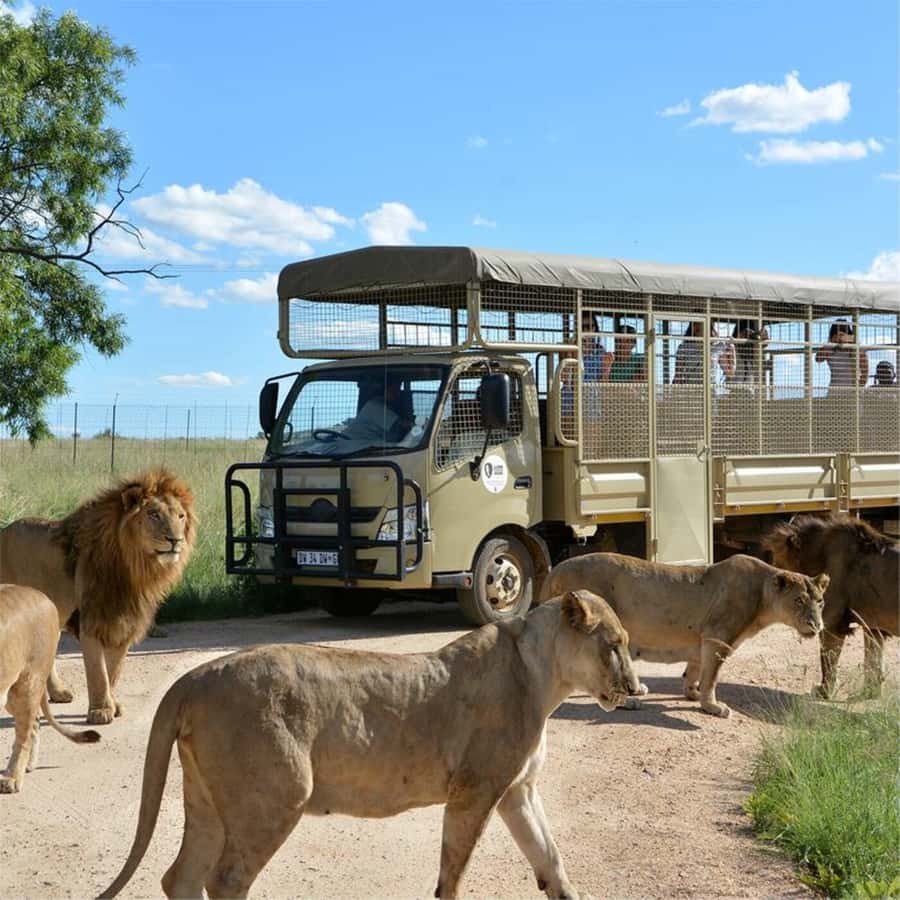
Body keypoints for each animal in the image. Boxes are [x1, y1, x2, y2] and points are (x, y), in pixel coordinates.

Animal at [0, 468, 196, 726]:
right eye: (154, 514)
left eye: (181, 516)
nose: (175, 540)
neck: (135, 569)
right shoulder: (91, 620)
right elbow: (97, 671)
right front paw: (101, 711)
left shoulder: (125, 622)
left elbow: (113, 671)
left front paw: (113, 705)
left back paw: (57, 693)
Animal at [1, 584, 100, 793]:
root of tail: (42, 596)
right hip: (12, 693)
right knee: (35, 723)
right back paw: (28, 767)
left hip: (28, 684)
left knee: (25, 733)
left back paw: (13, 778)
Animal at [100, 591, 639, 900]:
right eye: (615, 645)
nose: (635, 688)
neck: (544, 676)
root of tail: (193, 677)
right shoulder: (475, 790)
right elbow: (453, 873)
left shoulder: (517, 790)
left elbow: (550, 858)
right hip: (276, 796)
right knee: (224, 881)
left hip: (207, 799)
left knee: (182, 878)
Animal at [540, 553, 828, 718]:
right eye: (799, 601)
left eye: (820, 601)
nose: (817, 626)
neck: (762, 596)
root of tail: (554, 570)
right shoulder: (718, 638)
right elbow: (712, 677)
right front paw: (712, 707)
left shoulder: (703, 639)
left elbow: (695, 669)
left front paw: (692, 693)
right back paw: (630, 702)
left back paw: (638, 690)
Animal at [763, 515, 898, 699]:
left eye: (777, 563)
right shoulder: (873, 627)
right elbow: (873, 662)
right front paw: (870, 694)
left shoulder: (831, 622)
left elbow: (828, 660)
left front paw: (824, 692)